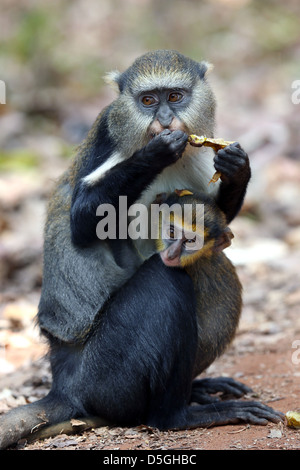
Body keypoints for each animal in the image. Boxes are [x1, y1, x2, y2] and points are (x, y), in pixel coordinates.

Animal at [1, 49, 282, 450]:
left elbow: (215, 217)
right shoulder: (107, 138)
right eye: (148, 101)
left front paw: (237, 167)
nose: (164, 120)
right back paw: (178, 416)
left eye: (175, 97)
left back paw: (197, 389)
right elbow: (84, 221)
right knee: (167, 280)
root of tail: (63, 386)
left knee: (213, 264)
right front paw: (158, 152)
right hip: (104, 375)